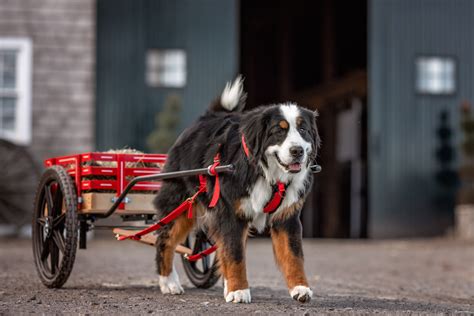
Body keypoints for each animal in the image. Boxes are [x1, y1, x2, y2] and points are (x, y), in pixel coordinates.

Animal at [154, 76, 320, 304]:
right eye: (279, 130)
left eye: (303, 130)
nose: (297, 151)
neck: (267, 175)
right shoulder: (230, 214)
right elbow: (235, 254)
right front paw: (239, 290)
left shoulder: (287, 217)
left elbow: (293, 255)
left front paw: (300, 288)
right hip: (179, 202)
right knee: (165, 240)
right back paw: (168, 282)